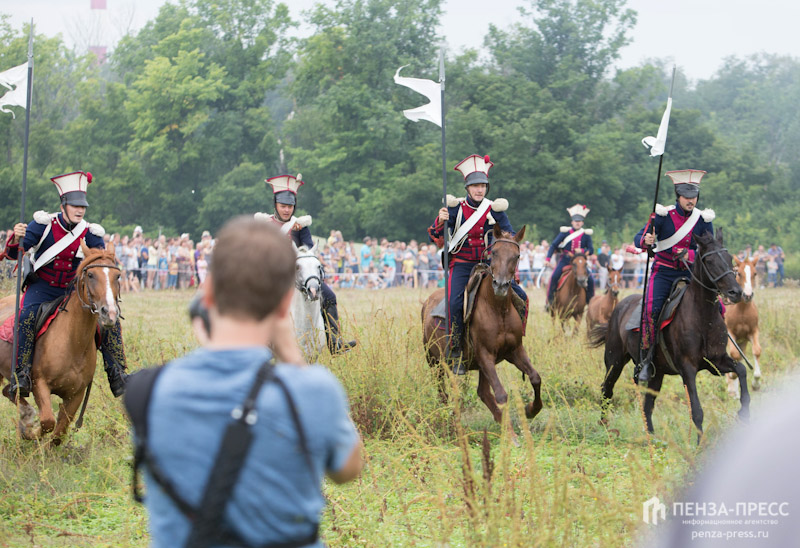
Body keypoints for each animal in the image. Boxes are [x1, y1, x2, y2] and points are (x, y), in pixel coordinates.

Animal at [418, 225, 544, 426]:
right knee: (443, 392)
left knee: (483, 392)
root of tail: (428, 302)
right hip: (435, 362)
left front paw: (530, 410)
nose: (500, 285)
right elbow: (501, 395)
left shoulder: (514, 351)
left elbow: (535, 378)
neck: (498, 309)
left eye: (517, 255)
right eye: (494, 252)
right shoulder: (485, 355)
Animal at [588, 229, 752, 444]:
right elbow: (697, 410)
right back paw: (604, 428)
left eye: (729, 257)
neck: (702, 316)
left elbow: (741, 369)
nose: (736, 292)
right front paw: (700, 445)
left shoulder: (716, 361)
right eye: (709, 261)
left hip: (656, 374)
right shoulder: (687, 368)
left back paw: (652, 438)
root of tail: (619, 307)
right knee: (607, 390)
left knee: (647, 404)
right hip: (614, 362)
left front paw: (744, 411)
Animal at [724, 256, 764, 398]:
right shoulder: (730, 333)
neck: (741, 310)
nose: (747, 295)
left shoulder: (752, 332)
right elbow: (734, 355)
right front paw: (731, 377)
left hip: (743, 341)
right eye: (739, 274)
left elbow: (756, 351)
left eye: (755, 273)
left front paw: (756, 384)